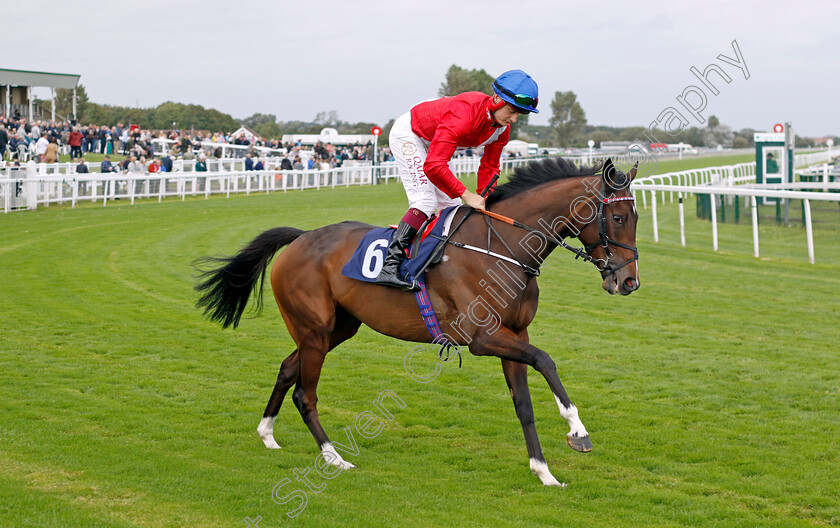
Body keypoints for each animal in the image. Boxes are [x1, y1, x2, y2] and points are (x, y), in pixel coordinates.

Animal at [197, 156, 640, 486]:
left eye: (636, 216)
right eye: (618, 218)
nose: (629, 281)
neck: (504, 249)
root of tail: (301, 237)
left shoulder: (514, 333)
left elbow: (524, 402)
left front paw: (544, 471)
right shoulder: (482, 338)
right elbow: (546, 359)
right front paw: (578, 431)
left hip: (336, 328)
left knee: (288, 369)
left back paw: (267, 433)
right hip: (314, 329)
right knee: (306, 393)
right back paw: (335, 457)